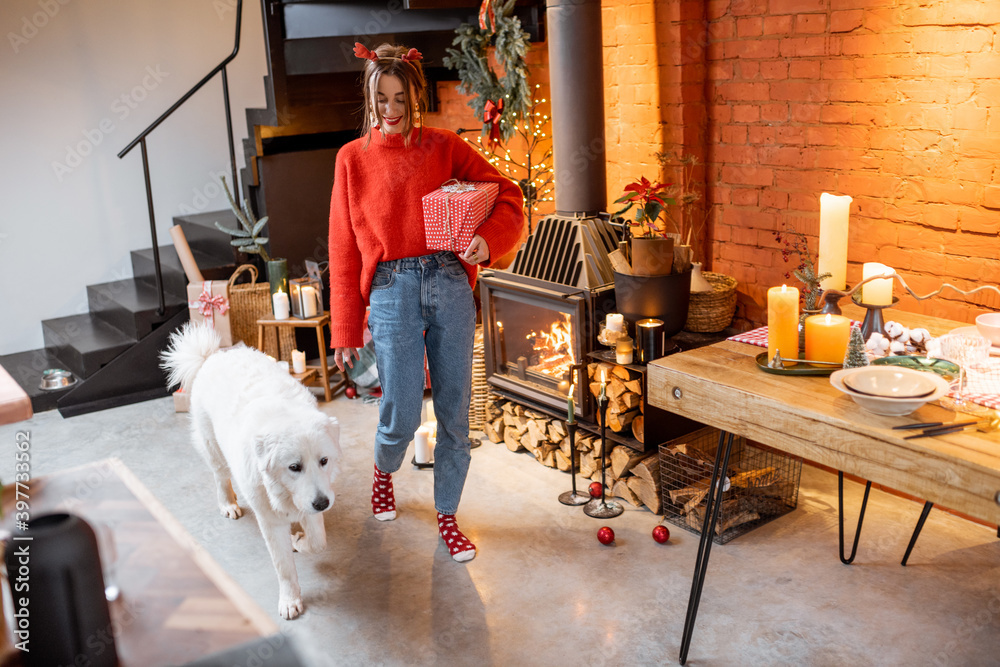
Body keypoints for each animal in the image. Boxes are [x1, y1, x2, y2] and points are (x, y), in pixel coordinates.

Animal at [160, 324, 340, 620]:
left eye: (324, 461)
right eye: (294, 467)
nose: (323, 503)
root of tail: (212, 356)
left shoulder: (310, 505)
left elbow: (318, 543)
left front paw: (299, 541)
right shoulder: (270, 520)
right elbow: (284, 567)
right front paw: (290, 601)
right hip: (213, 447)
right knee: (220, 476)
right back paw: (228, 504)